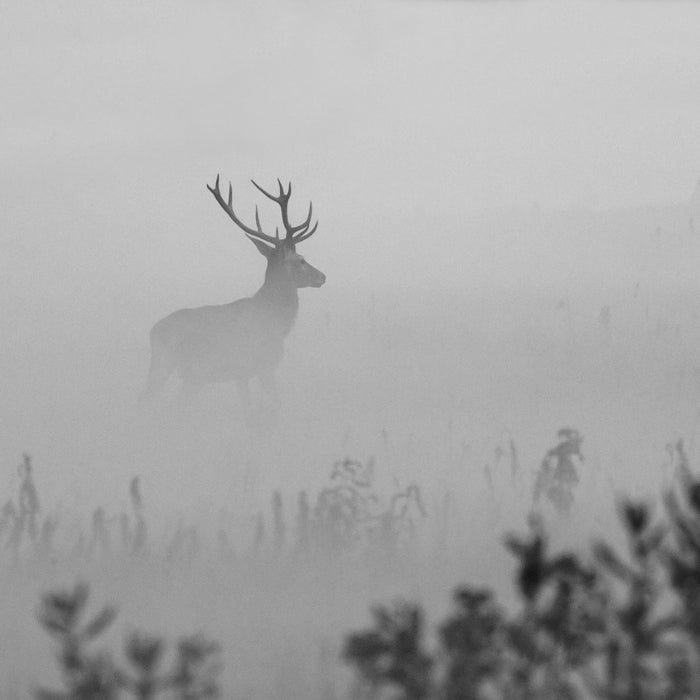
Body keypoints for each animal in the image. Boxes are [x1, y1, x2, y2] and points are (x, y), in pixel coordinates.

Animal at [142, 175, 328, 412]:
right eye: (301, 260)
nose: (322, 276)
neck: (276, 321)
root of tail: (153, 332)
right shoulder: (260, 366)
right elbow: (272, 404)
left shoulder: (242, 374)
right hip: (175, 366)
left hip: (184, 373)